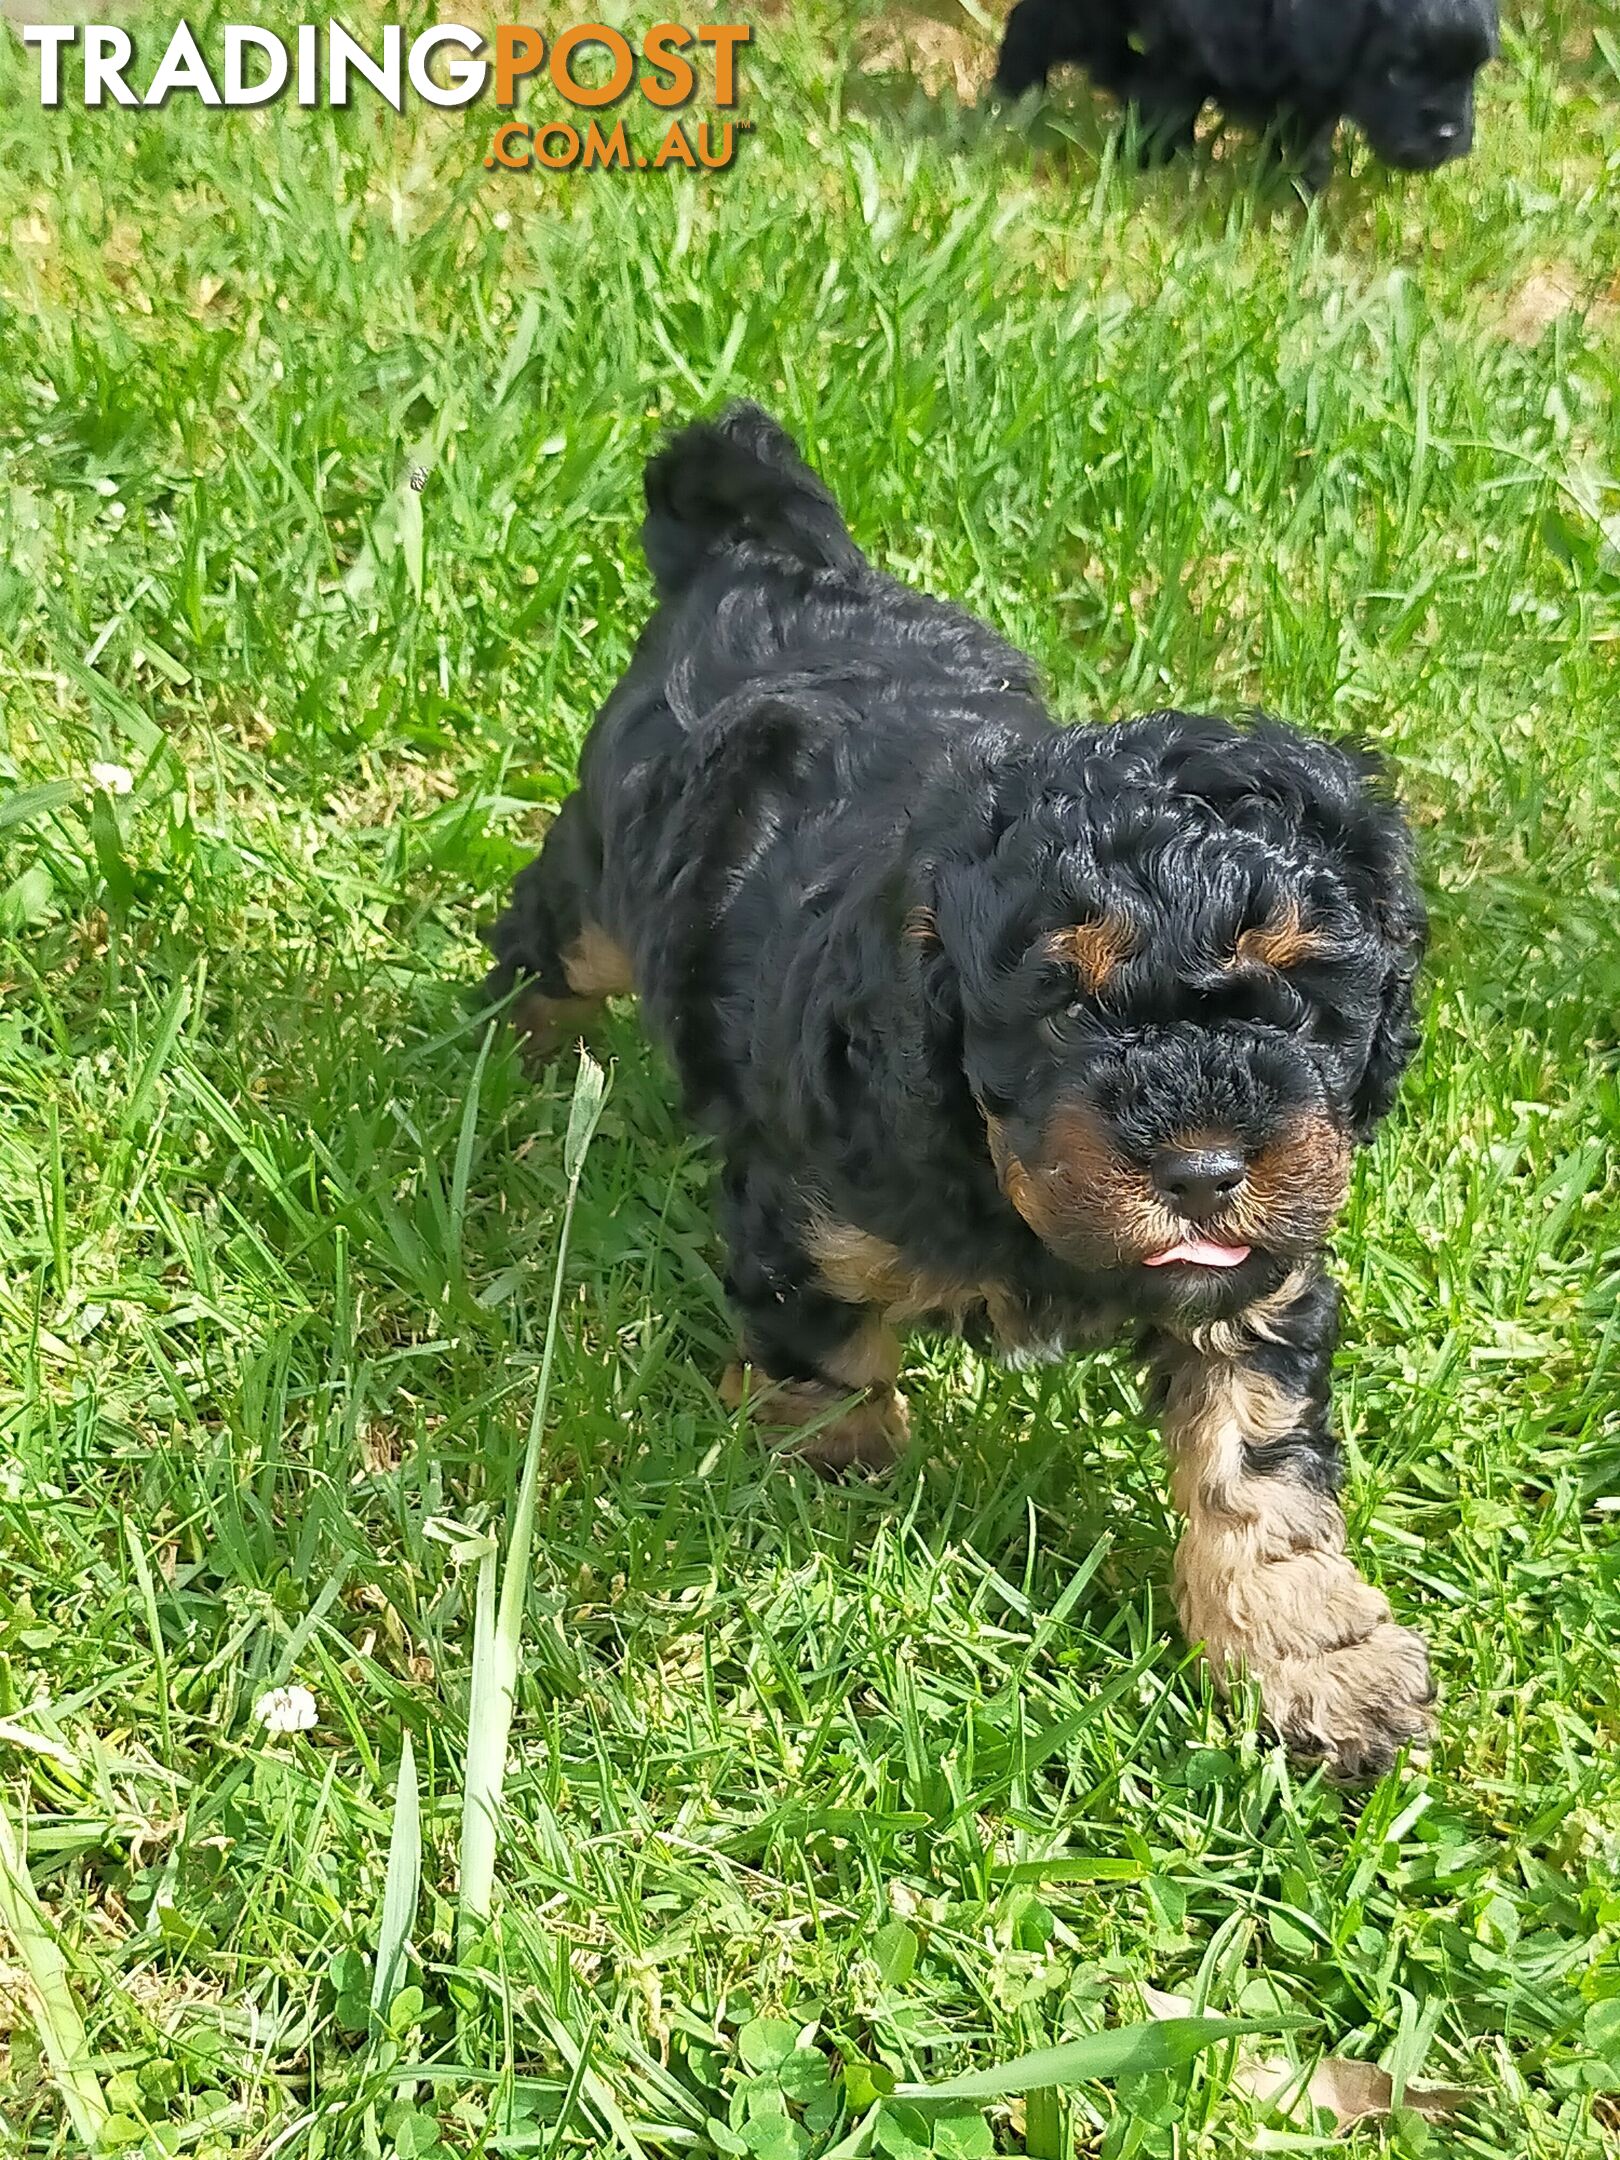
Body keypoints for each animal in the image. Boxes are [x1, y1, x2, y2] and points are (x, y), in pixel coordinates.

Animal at [488, 401, 1442, 1771]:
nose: (1204, 1172)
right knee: (550, 939)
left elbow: (1258, 1471)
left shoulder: (1260, 1279)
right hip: (606, 872)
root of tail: (768, 555)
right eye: (1060, 1003)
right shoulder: (810, 1213)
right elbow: (824, 1353)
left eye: (1302, 989)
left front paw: (1319, 1665)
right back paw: (511, 1060)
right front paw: (834, 1474)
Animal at [997, 0, 1503, 182]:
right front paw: (1150, 169)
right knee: (1037, 25)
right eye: (1399, 72)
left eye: (1474, 71)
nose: (1446, 135)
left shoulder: (1311, 93)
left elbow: (1305, 143)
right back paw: (1001, 113)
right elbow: (1165, 106)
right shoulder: (1191, 44)